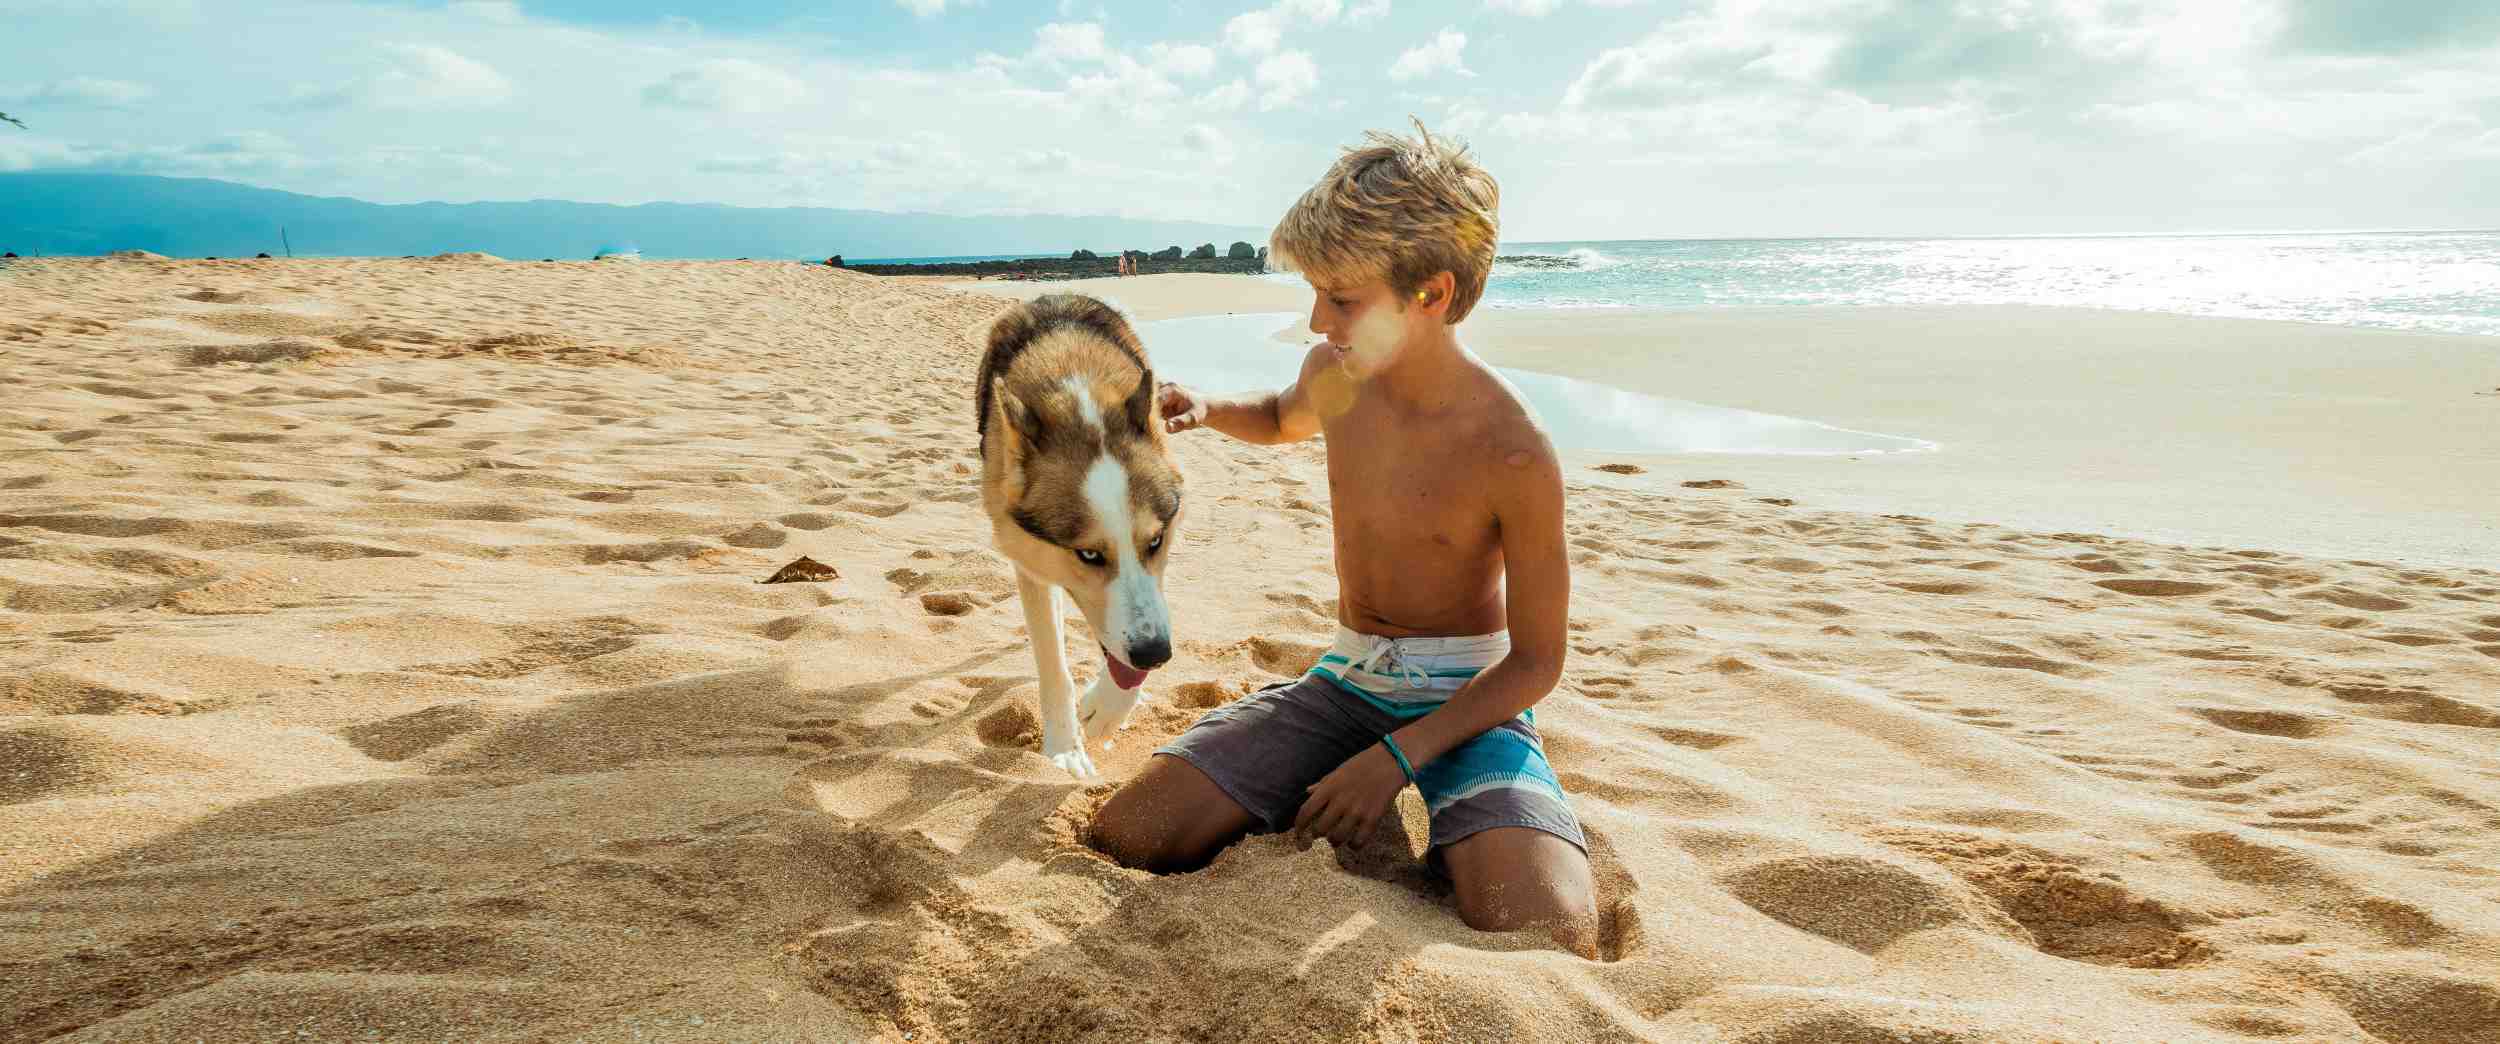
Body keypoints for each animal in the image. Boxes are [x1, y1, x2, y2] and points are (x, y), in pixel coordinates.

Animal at [975, 293, 1180, 784]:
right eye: (1088, 553)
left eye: (1155, 541)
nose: (1156, 654)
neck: (1077, 392)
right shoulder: (1030, 562)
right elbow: (1054, 666)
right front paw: (1065, 748)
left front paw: (1109, 708)